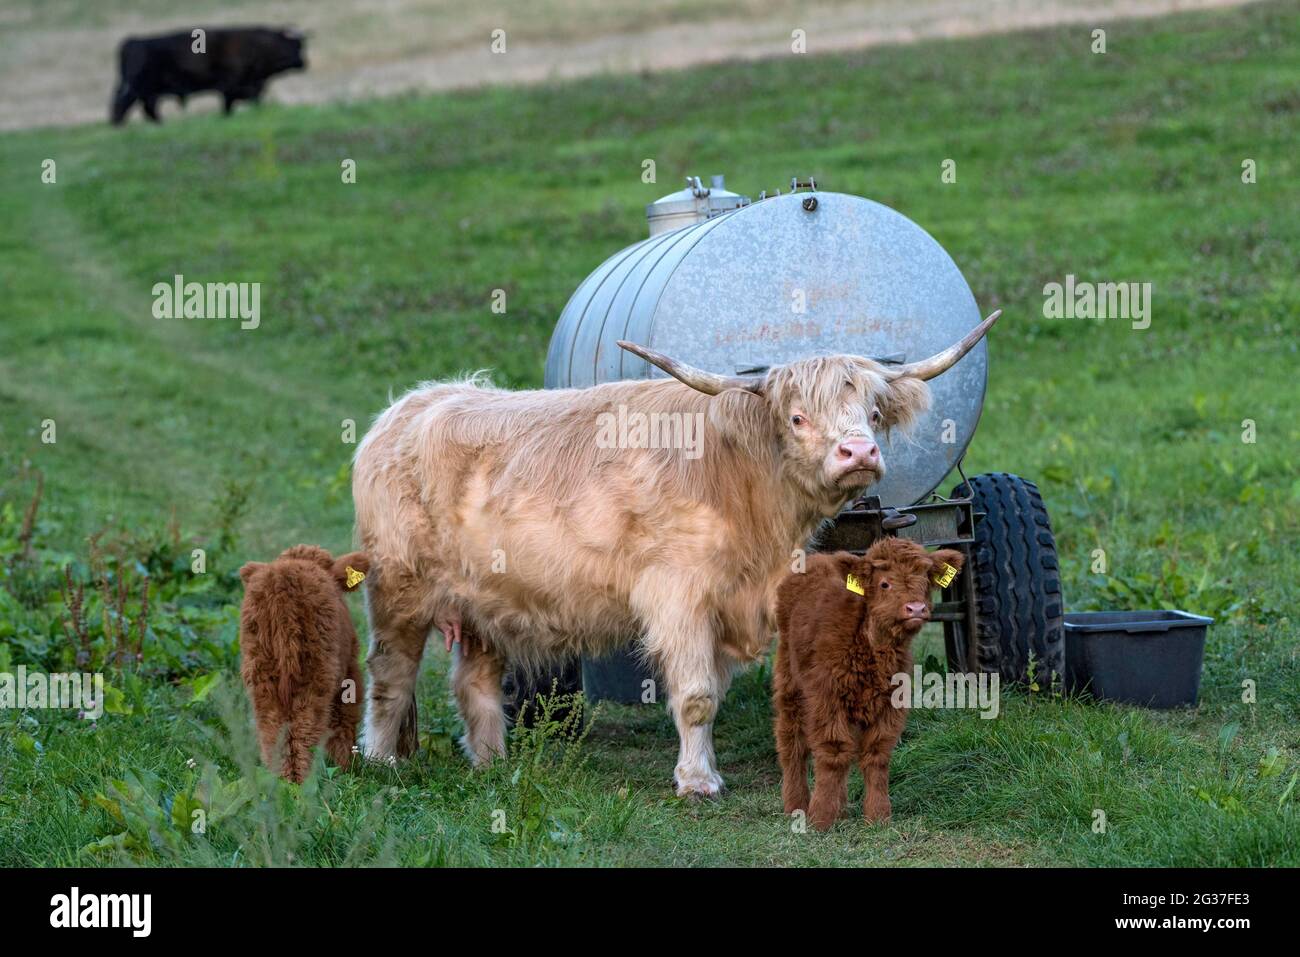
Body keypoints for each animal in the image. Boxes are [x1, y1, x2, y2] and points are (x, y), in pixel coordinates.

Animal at [109, 26, 306, 125]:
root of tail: (132, 42)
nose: (304, 63)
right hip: (141, 88)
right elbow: (228, 103)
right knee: (130, 105)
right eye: (296, 45)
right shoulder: (232, 85)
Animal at [239, 546, 369, 785]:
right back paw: (301, 781)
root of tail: (281, 582)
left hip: (260, 671)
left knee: (272, 726)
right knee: (306, 726)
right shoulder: (350, 673)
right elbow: (344, 721)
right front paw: (346, 767)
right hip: (317, 671)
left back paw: (279, 780)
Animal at [769, 538, 967, 832]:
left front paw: (878, 815)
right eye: (884, 584)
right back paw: (796, 804)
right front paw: (821, 817)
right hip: (789, 684)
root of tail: (817, 558)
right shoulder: (826, 698)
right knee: (791, 741)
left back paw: (840, 808)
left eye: (925, 580)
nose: (916, 608)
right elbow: (833, 753)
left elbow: (876, 755)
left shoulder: (891, 705)